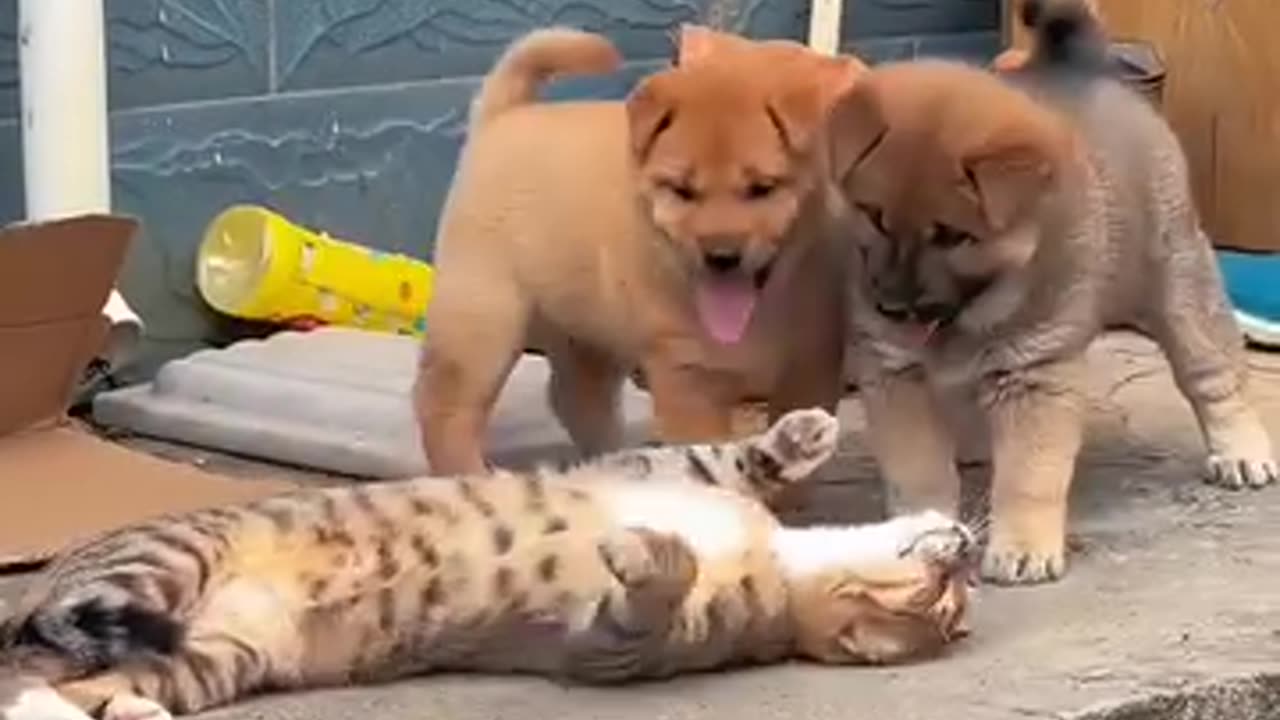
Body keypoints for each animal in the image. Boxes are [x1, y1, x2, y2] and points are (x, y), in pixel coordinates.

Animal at [0, 409, 972, 717]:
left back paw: (114, 713)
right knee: (27, 664)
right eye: (946, 595)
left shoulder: (610, 641)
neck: (779, 558)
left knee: (50, 683)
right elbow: (728, 456)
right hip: (156, 576)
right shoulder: (650, 471)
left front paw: (647, 551)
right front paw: (804, 434)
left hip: (204, 659)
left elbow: (653, 589)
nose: (963, 552)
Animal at [824, 0, 1274, 584]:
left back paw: (1241, 449)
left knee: (1213, 372)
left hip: (1177, 281)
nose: (891, 307)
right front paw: (925, 527)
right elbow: (918, 467)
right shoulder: (896, 373)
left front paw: (1021, 549)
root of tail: (1081, 68)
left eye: (951, 236)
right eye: (875, 217)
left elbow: (1029, 473)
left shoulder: (1036, 371)